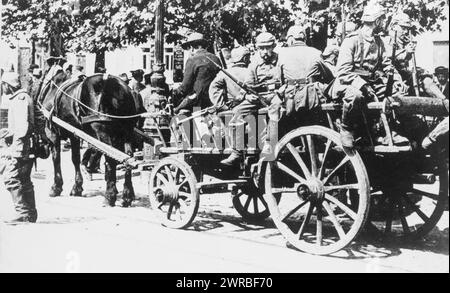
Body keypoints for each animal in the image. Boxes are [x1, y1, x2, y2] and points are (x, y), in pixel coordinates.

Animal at [38, 68, 139, 205]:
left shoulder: (53, 133)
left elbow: (57, 158)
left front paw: (57, 186)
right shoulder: (75, 134)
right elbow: (75, 158)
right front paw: (77, 186)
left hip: (102, 131)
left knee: (111, 159)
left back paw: (110, 195)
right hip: (126, 131)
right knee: (128, 157)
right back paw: (128, 194)